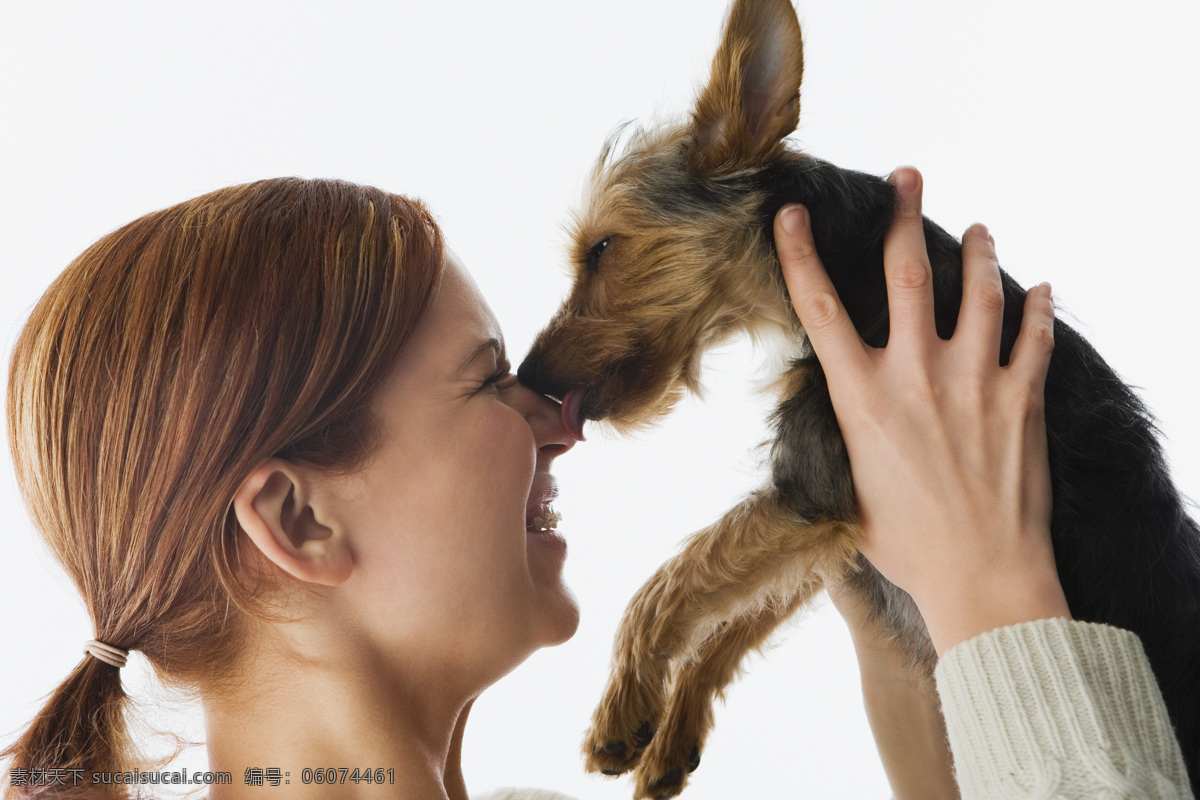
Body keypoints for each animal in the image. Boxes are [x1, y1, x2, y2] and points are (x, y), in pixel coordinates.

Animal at [516, 0, 1200, 796]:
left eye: (601, 250)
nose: (528, 375)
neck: (839, 266)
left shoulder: (816, 481)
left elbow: (673, 583)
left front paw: (625, 706)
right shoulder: (838, 534)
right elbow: (737, 606)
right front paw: (671, 730)